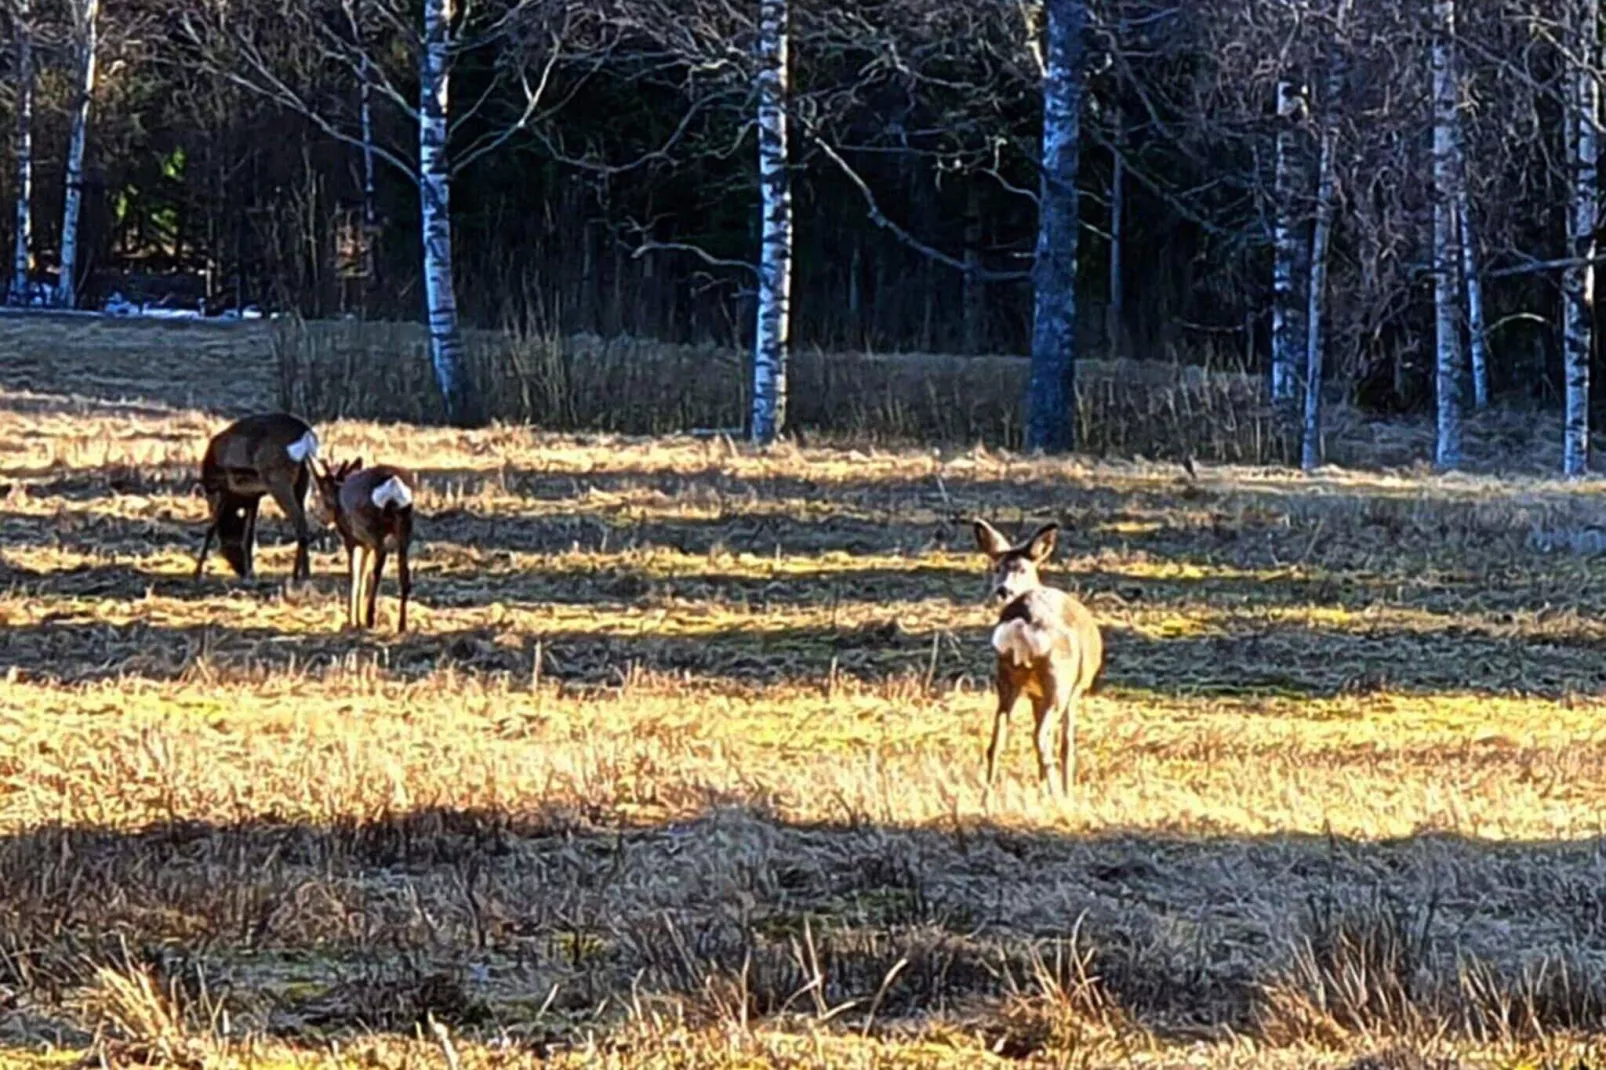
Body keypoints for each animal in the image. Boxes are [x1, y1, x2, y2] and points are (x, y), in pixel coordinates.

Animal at [195, 408, 319, 578]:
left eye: (228, 544)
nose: (240, 570)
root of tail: (305, 432)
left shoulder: (224, 488)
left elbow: (211, 528)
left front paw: (197, 572)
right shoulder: (253, 496)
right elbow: (249, 535)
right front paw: (250, 572)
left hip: (278, 480)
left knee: (300, 525)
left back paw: (300, 575)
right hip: (303, 480)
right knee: (303, 523)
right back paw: (301, 573)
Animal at [311, 453, 414, 629]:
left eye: (322, 493)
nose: (319, 517)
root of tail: (393, 491)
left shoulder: (351, 539)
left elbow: (354, 577)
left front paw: (351, 620)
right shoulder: (365, 545)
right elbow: (362, 576)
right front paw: (356, 619)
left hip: (375, 530)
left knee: (378, 569)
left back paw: (370, 618)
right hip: (404, 529)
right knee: (404, 573)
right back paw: (402, 625)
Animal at [963, 517, 1104, 800]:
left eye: (1022, 569)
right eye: (997, 568)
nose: (1003, 590)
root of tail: (1023, 620)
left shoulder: (1033, 694)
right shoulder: (1074, 690)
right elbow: (1067, 743)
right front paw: (1066, 791)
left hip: (1007, 676)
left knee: (997, 740)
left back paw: (986, 798)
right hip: (1058, 680)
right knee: (1041, 737)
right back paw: (1058, 797)